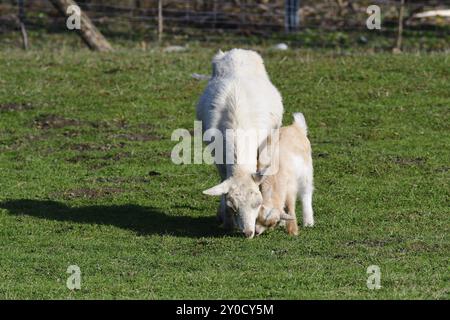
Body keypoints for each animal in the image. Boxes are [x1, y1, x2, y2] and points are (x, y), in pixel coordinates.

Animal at [198, 47, 284, 238]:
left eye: (257, 202)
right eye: (233, 207)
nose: (248, 232)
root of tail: (237, 51)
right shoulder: (218, 156)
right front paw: (226, 220)